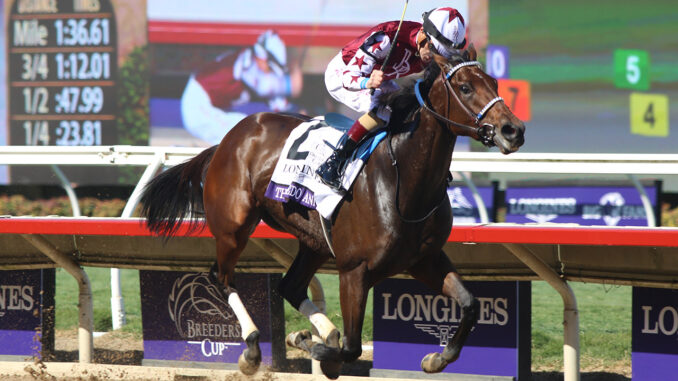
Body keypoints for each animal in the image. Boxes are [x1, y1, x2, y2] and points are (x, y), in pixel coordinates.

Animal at [142, 46, 524, 378]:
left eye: (495, 83)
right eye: (465, 87)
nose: (513, 130)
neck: (403, 181)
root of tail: (228, 139)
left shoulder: (424, 260)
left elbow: (471, 303)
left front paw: (436, 358)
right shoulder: (354, 270)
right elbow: (352, 347)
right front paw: (316, 349)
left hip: (314, 243)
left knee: (290, 286)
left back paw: (320, 333)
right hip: (233, 227)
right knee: (221, 278)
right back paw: (252, 350)